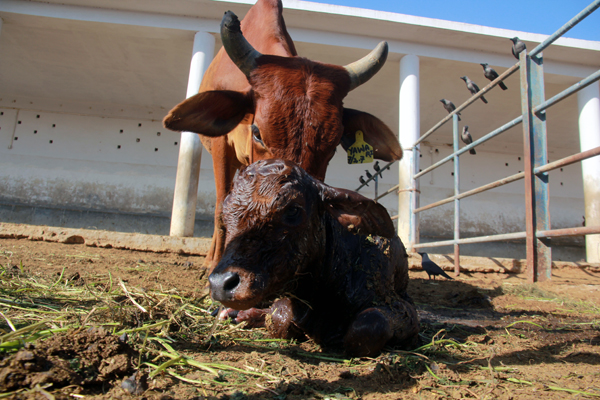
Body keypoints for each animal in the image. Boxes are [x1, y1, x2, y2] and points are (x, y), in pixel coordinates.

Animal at [209, 159, 420, 356]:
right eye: (225, 213)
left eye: (293, 209)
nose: (220, 283)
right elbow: (280, 317)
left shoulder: (403, 308)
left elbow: (366, 328)